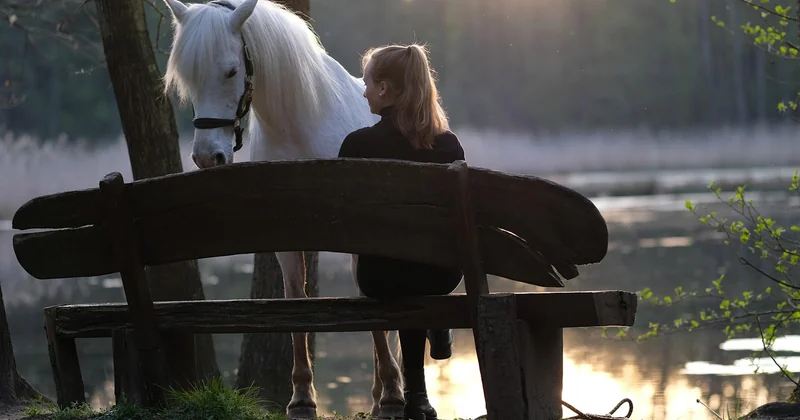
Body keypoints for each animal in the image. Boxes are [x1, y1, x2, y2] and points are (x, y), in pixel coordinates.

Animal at [160, 0, 405, 418]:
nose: (208, 157)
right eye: (187, 77)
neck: (301, 126)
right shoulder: (287, 242)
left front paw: (390, 392)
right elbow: (295, 304)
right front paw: (302, 397)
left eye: (231, 70)